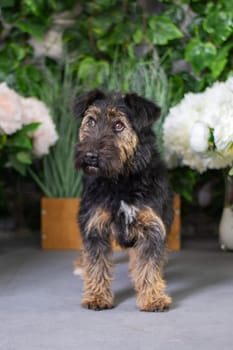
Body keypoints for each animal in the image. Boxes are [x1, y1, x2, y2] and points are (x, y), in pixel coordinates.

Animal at [73, 90, 174, 312]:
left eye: (119, 125)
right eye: (91, 121)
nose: (90, 156)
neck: (121, 181)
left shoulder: (152, 227)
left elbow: (149, 265)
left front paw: (152, 298)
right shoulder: (94, 224)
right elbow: (97, 264)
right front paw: (97, 296)